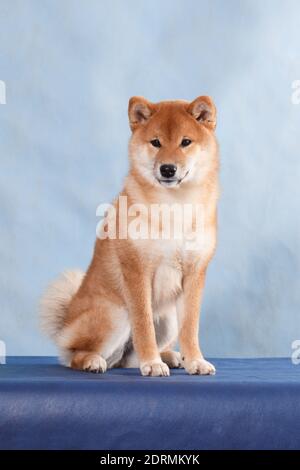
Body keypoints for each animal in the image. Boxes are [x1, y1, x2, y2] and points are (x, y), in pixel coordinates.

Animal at [39, 93, 219, 376]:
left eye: (185, 142)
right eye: (156, 142)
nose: (168, 169)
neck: (175, 205)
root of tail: (67, 320)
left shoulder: (194, 273)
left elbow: (190, 328)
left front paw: (195, 361)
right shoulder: (137, 270)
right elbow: (143, 326)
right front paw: (152, 364)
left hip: (167, 318)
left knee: (127, 358)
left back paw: (170, 356)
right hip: (116, 314)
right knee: (74, 354)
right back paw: (93, 361)